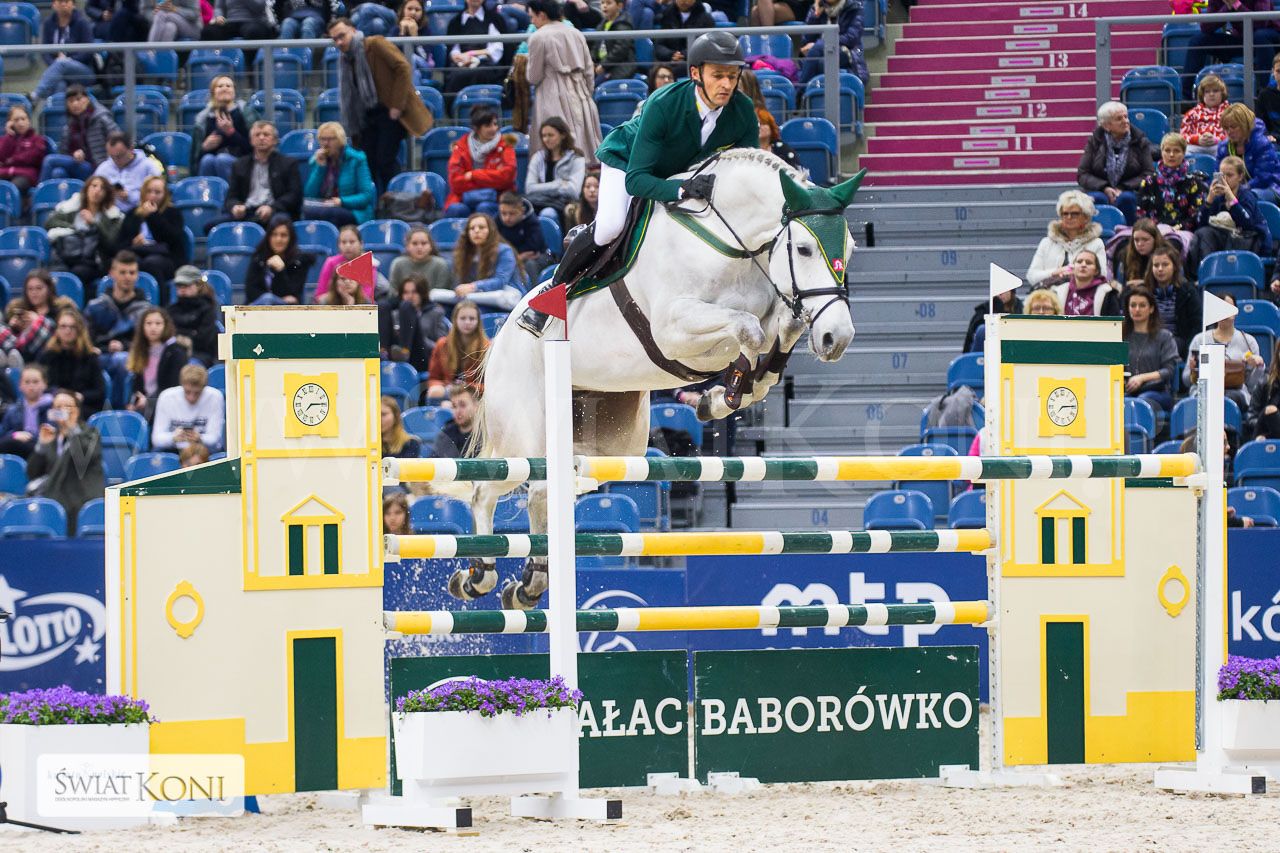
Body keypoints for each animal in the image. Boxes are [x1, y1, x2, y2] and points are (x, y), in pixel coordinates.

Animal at [450, 148, 864, 609]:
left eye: (850, 247)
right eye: (805, 248)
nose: (837, 338)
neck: (732, 246)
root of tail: (501, 335)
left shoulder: (773, 310)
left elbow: (779, 332)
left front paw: (723, 396)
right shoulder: (674, 329)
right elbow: (749, 330)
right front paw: (727, 391)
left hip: (606, 447)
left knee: (545, 493)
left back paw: (530, 582)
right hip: (525, 435)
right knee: (487, 489)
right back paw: (480, 575)